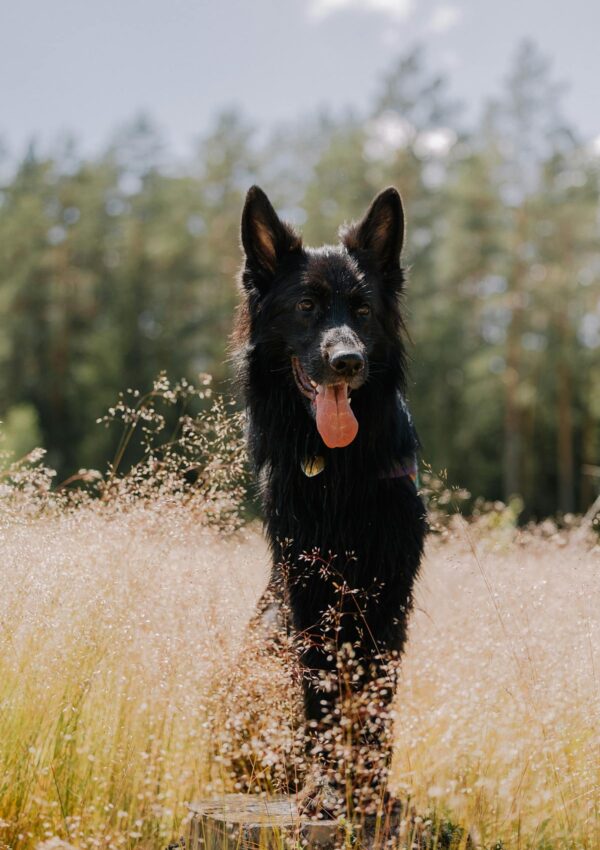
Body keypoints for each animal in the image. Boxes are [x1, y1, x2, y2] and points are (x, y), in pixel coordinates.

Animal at [234, 184, 426, 816]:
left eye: (362, 311)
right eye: (306, 307)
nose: (348, 362)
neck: (337, 467)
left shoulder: (389, 592)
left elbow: (375, 700)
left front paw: (368, 790)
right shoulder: (306, 590)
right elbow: (319, 696)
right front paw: (323, 789)